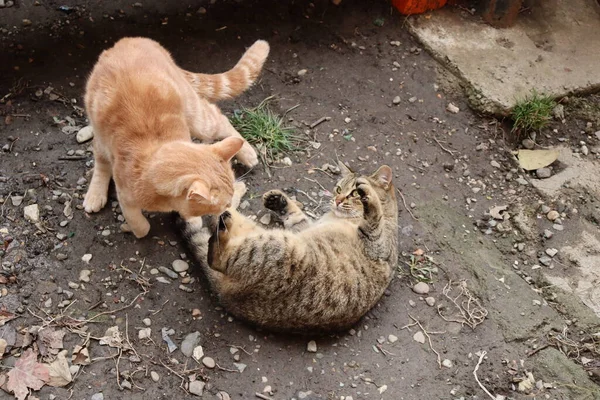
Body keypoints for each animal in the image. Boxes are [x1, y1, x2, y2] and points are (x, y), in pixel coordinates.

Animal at [184, 164, 398, 332]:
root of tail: (227, 295)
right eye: (338, 189)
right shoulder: (304, 227)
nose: (337, 201)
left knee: (216, 251)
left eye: (353, 193)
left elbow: (374, 215)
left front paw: (368, 195)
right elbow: (296, 217)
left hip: (275, 247)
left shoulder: (377, 244)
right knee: (218, 216)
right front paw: (279, 200)